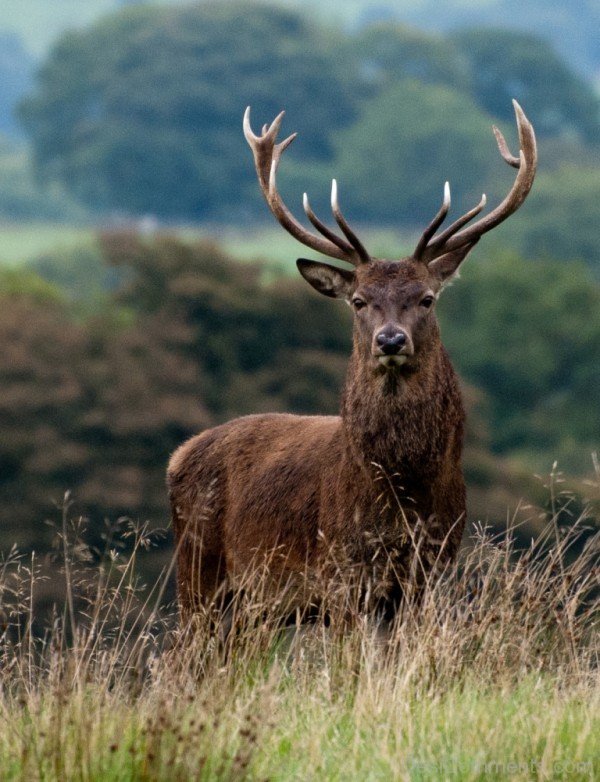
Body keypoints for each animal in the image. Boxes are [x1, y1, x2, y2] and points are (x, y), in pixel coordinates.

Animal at [166, 99, 536, 624]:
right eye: (359, 301)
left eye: (426, 299)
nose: (390, 339)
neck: (402, 494)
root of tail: (177, 457)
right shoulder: (341, 570)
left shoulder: (429, 569)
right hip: (198, 574)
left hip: (251, 607)